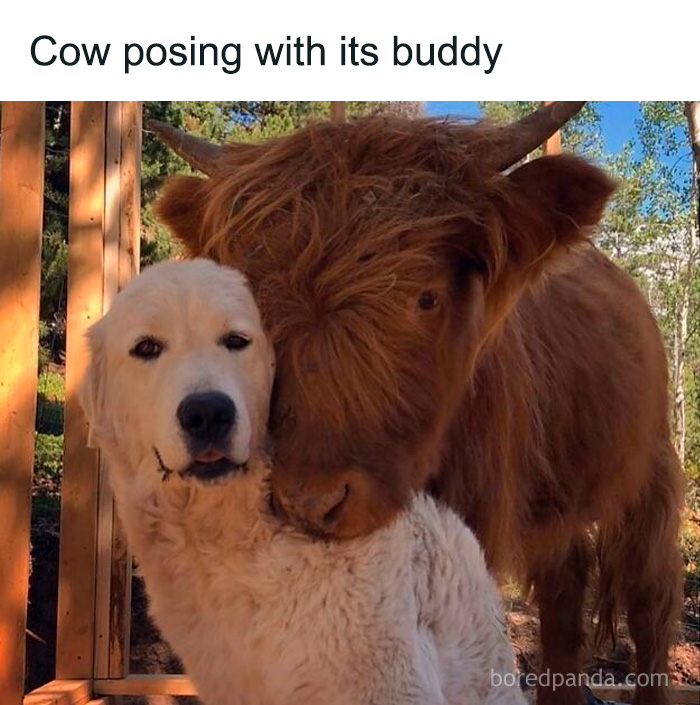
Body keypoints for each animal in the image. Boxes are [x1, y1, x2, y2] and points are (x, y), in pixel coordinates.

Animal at [149, 102, 684, 705]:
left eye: (426, 297)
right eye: (251, 312)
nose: (310, 502)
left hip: (650, 473)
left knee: (650, 598)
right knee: (564, 595)